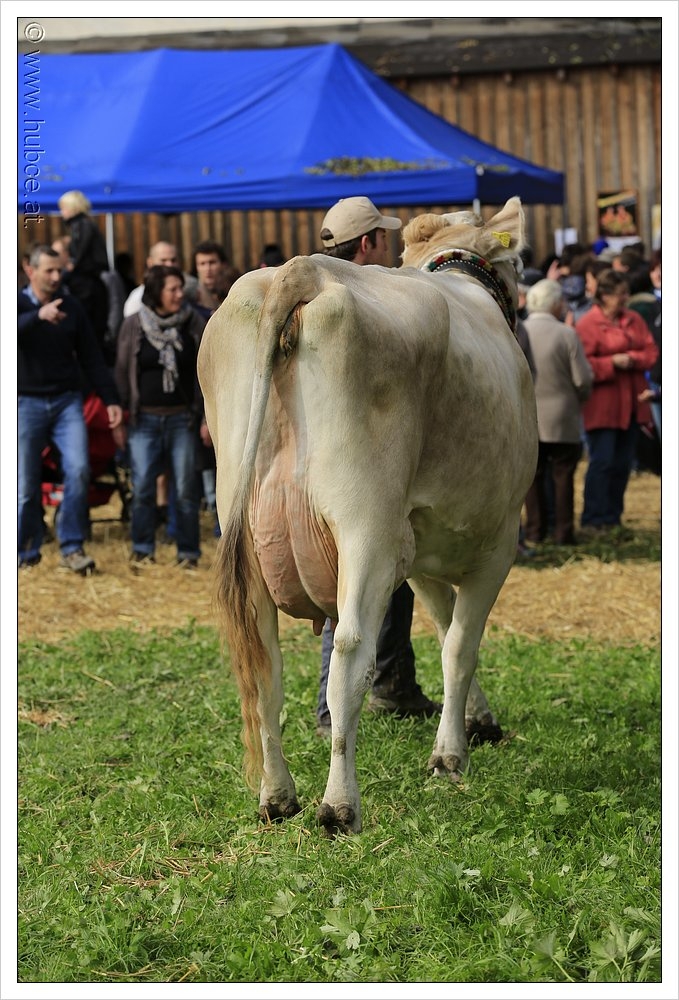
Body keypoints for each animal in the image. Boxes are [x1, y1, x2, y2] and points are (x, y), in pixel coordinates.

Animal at [197, 196, 538, 836]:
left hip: (244, 527)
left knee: (264, 663)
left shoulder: (424, 553)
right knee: (350, 658)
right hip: (365, 527)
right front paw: (450, 755)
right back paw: (338, 806)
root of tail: (303, 271)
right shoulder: (498, 541)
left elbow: (445, 630)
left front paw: (474, 721)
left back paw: (277, 797)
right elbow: (460, 645)